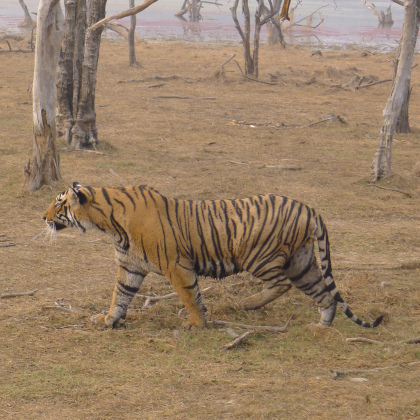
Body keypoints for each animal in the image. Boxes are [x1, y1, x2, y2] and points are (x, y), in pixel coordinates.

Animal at [42, 182, 384, 330]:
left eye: (59, 203)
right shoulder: (130, 267)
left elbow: (190, 296)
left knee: (282, 284)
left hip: (261, 256)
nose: (42, 217)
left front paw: (196, 324)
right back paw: (321, 326)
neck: (110, 225)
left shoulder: (176, 266)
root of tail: (310, 208)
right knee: (324, 294)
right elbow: (120, 295)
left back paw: (247, 303)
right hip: (303, 263)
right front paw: (108, 319)